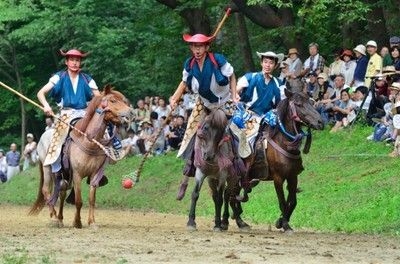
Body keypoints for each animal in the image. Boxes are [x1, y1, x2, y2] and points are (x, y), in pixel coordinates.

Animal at [28, 85, 134, 228]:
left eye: (123, 100)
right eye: (112, 100)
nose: (131, 112)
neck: (88, 141)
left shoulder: (95, 174)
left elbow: (91, 199)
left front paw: (92, 222)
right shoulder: (77, 174)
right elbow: (78, 200)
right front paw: (77, 222)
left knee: (61, 191)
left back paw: (60, 218)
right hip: (47, 168)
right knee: (46, 191)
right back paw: (54, 218)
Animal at [241, 89, 322, 232]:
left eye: (311, 102)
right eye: (299, 104)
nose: (320, 122)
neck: (284, 144)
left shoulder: (292, 176)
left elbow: (293, 202)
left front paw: (281, 221)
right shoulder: (278, 178)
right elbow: (282, 202)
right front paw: (285, 225)